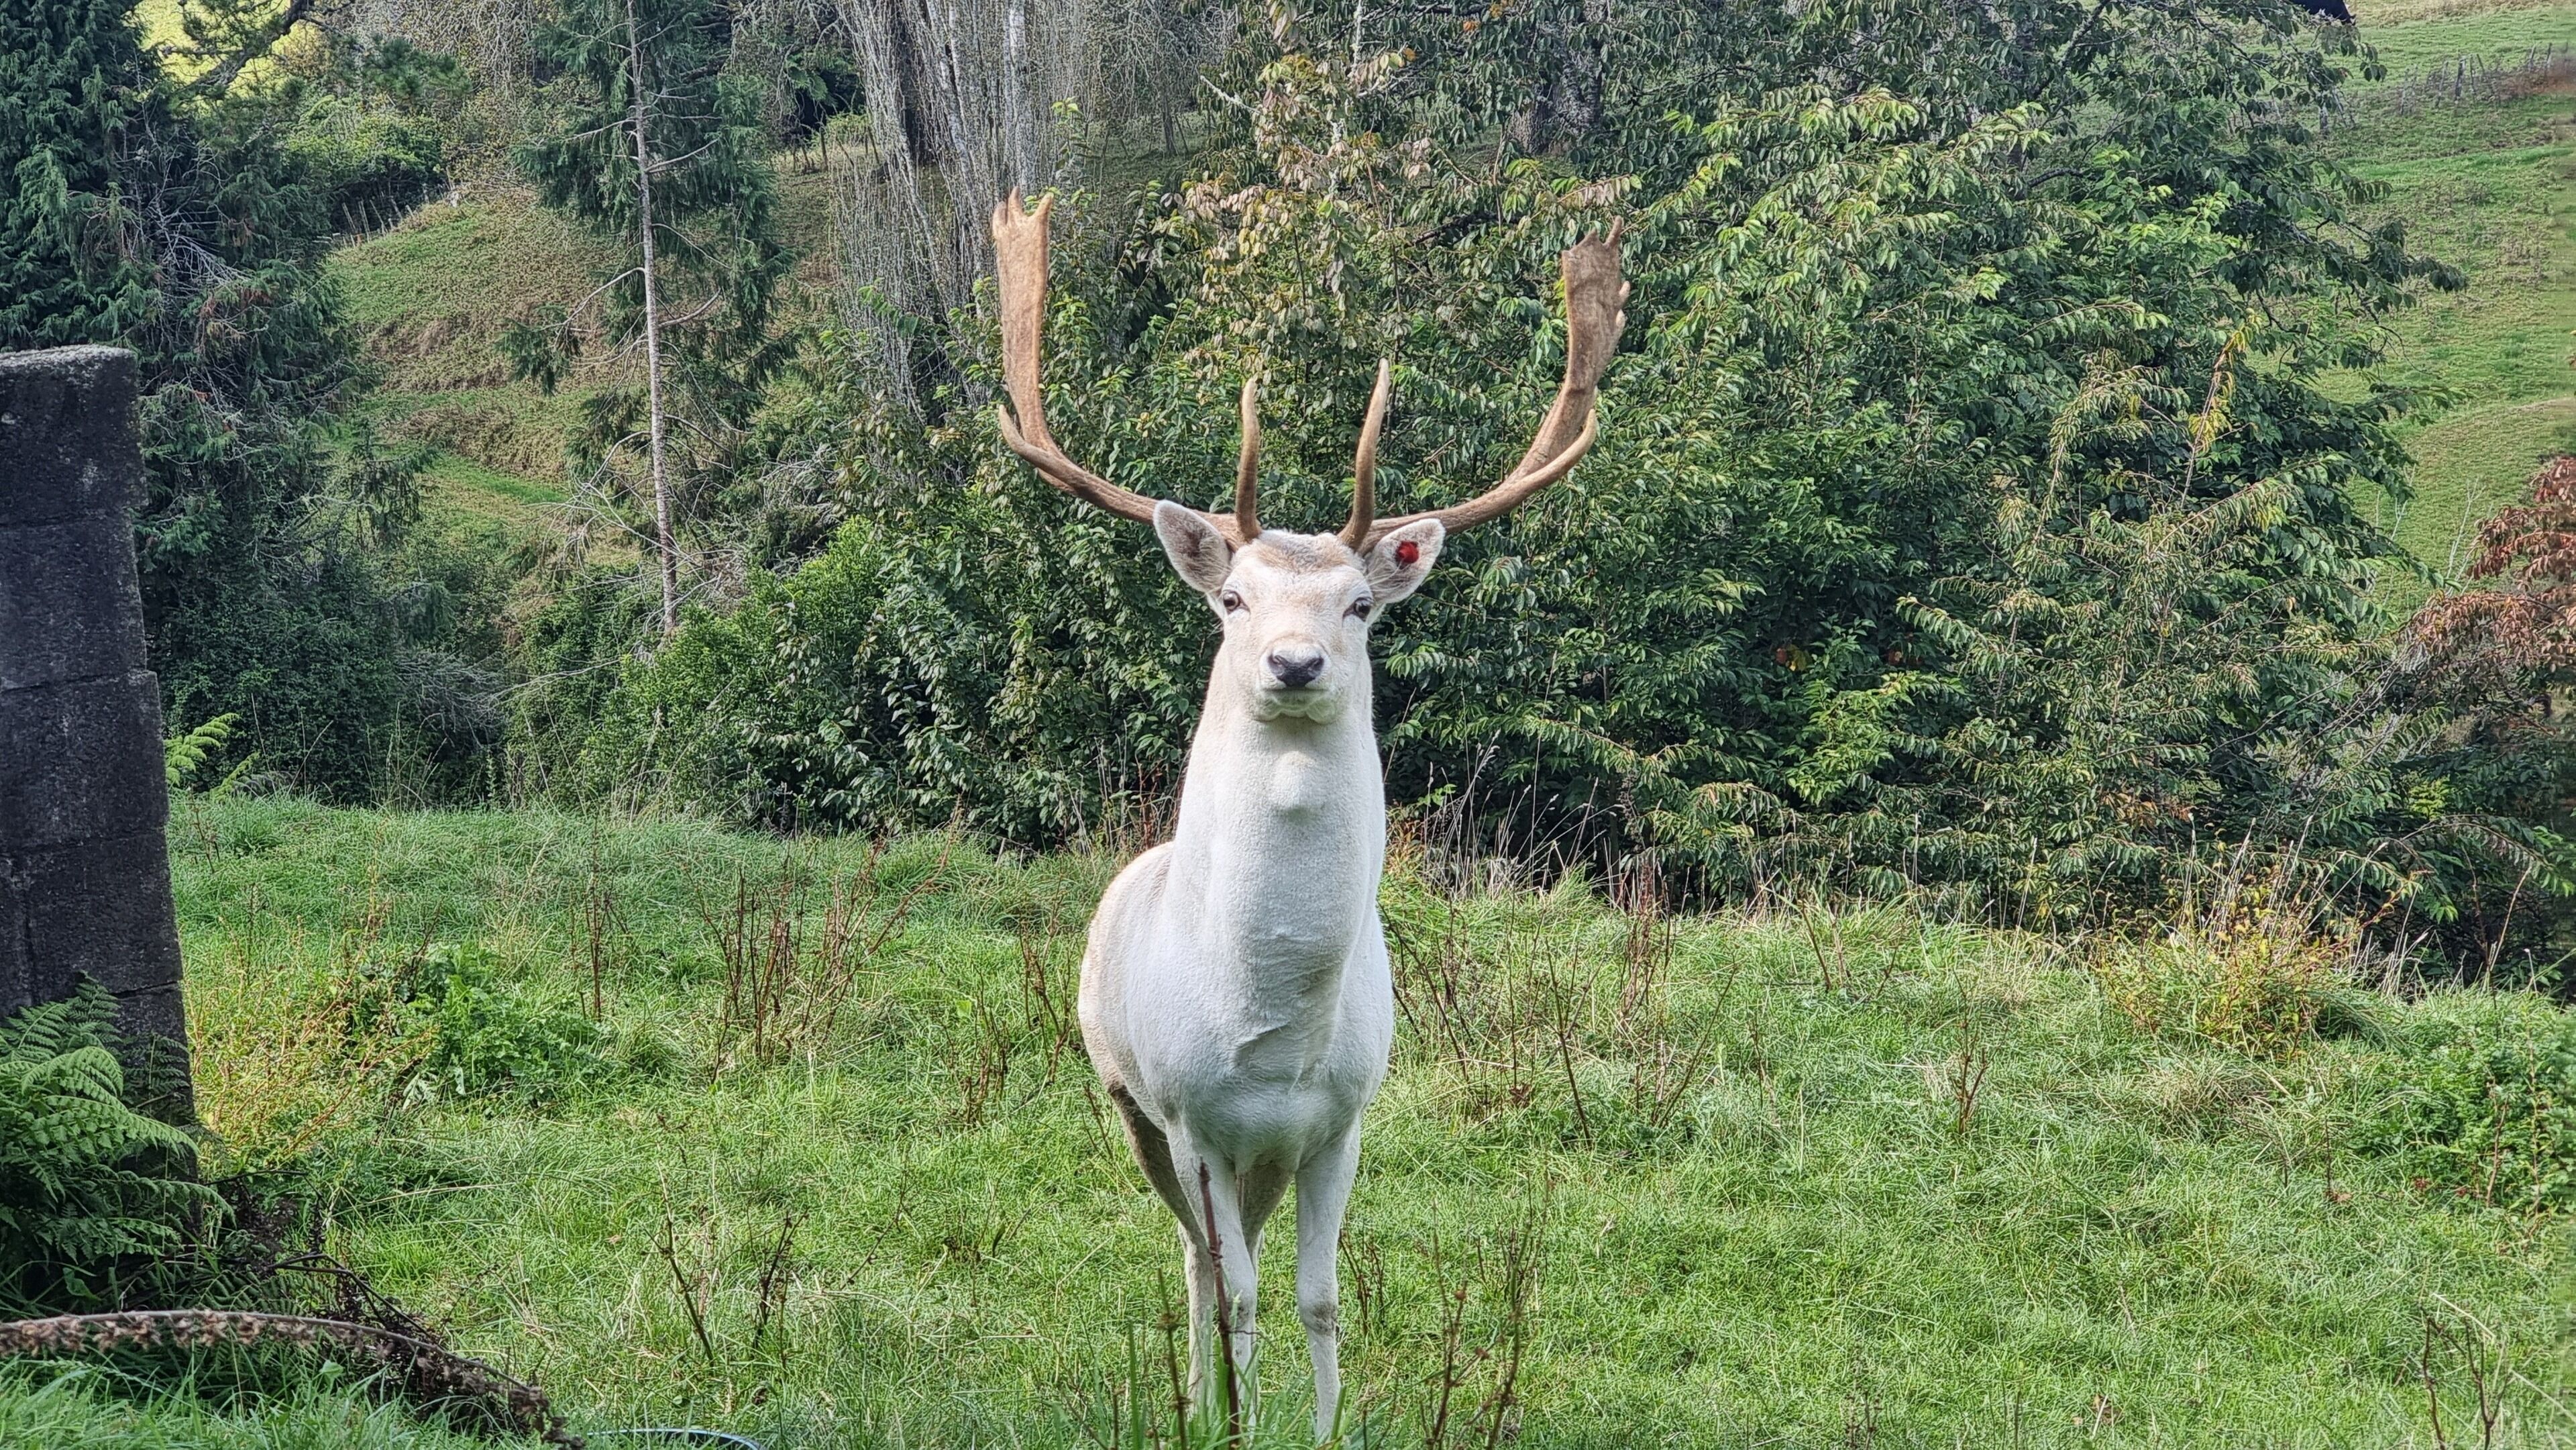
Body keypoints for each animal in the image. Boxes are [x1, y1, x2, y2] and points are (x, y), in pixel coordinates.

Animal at [989, 191, 1625, 1440]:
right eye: (1234, 598)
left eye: (1362, 603)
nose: (1293, 663)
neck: (1274, 1035)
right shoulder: (1191, 1118)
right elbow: (1238, 1293)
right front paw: (1233, 1419)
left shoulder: (1343, 1119)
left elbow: (1322, 1298)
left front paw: (1328, 1424)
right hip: (1132, 1106)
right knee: (1195, 1263)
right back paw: (1196, 1399)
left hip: (1260, 1158)